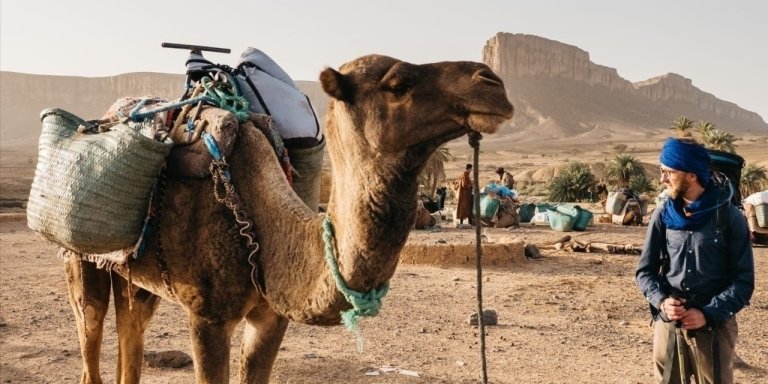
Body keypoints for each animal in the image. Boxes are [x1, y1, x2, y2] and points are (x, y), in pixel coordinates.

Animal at [63, 54, 512, 384]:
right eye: (398, 83)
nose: (492, 82)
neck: (264, 230)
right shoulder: (207, 316)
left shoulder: (271, 318)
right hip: (79, 262)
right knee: (91, 334)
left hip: (140, 277)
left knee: (131, 329)